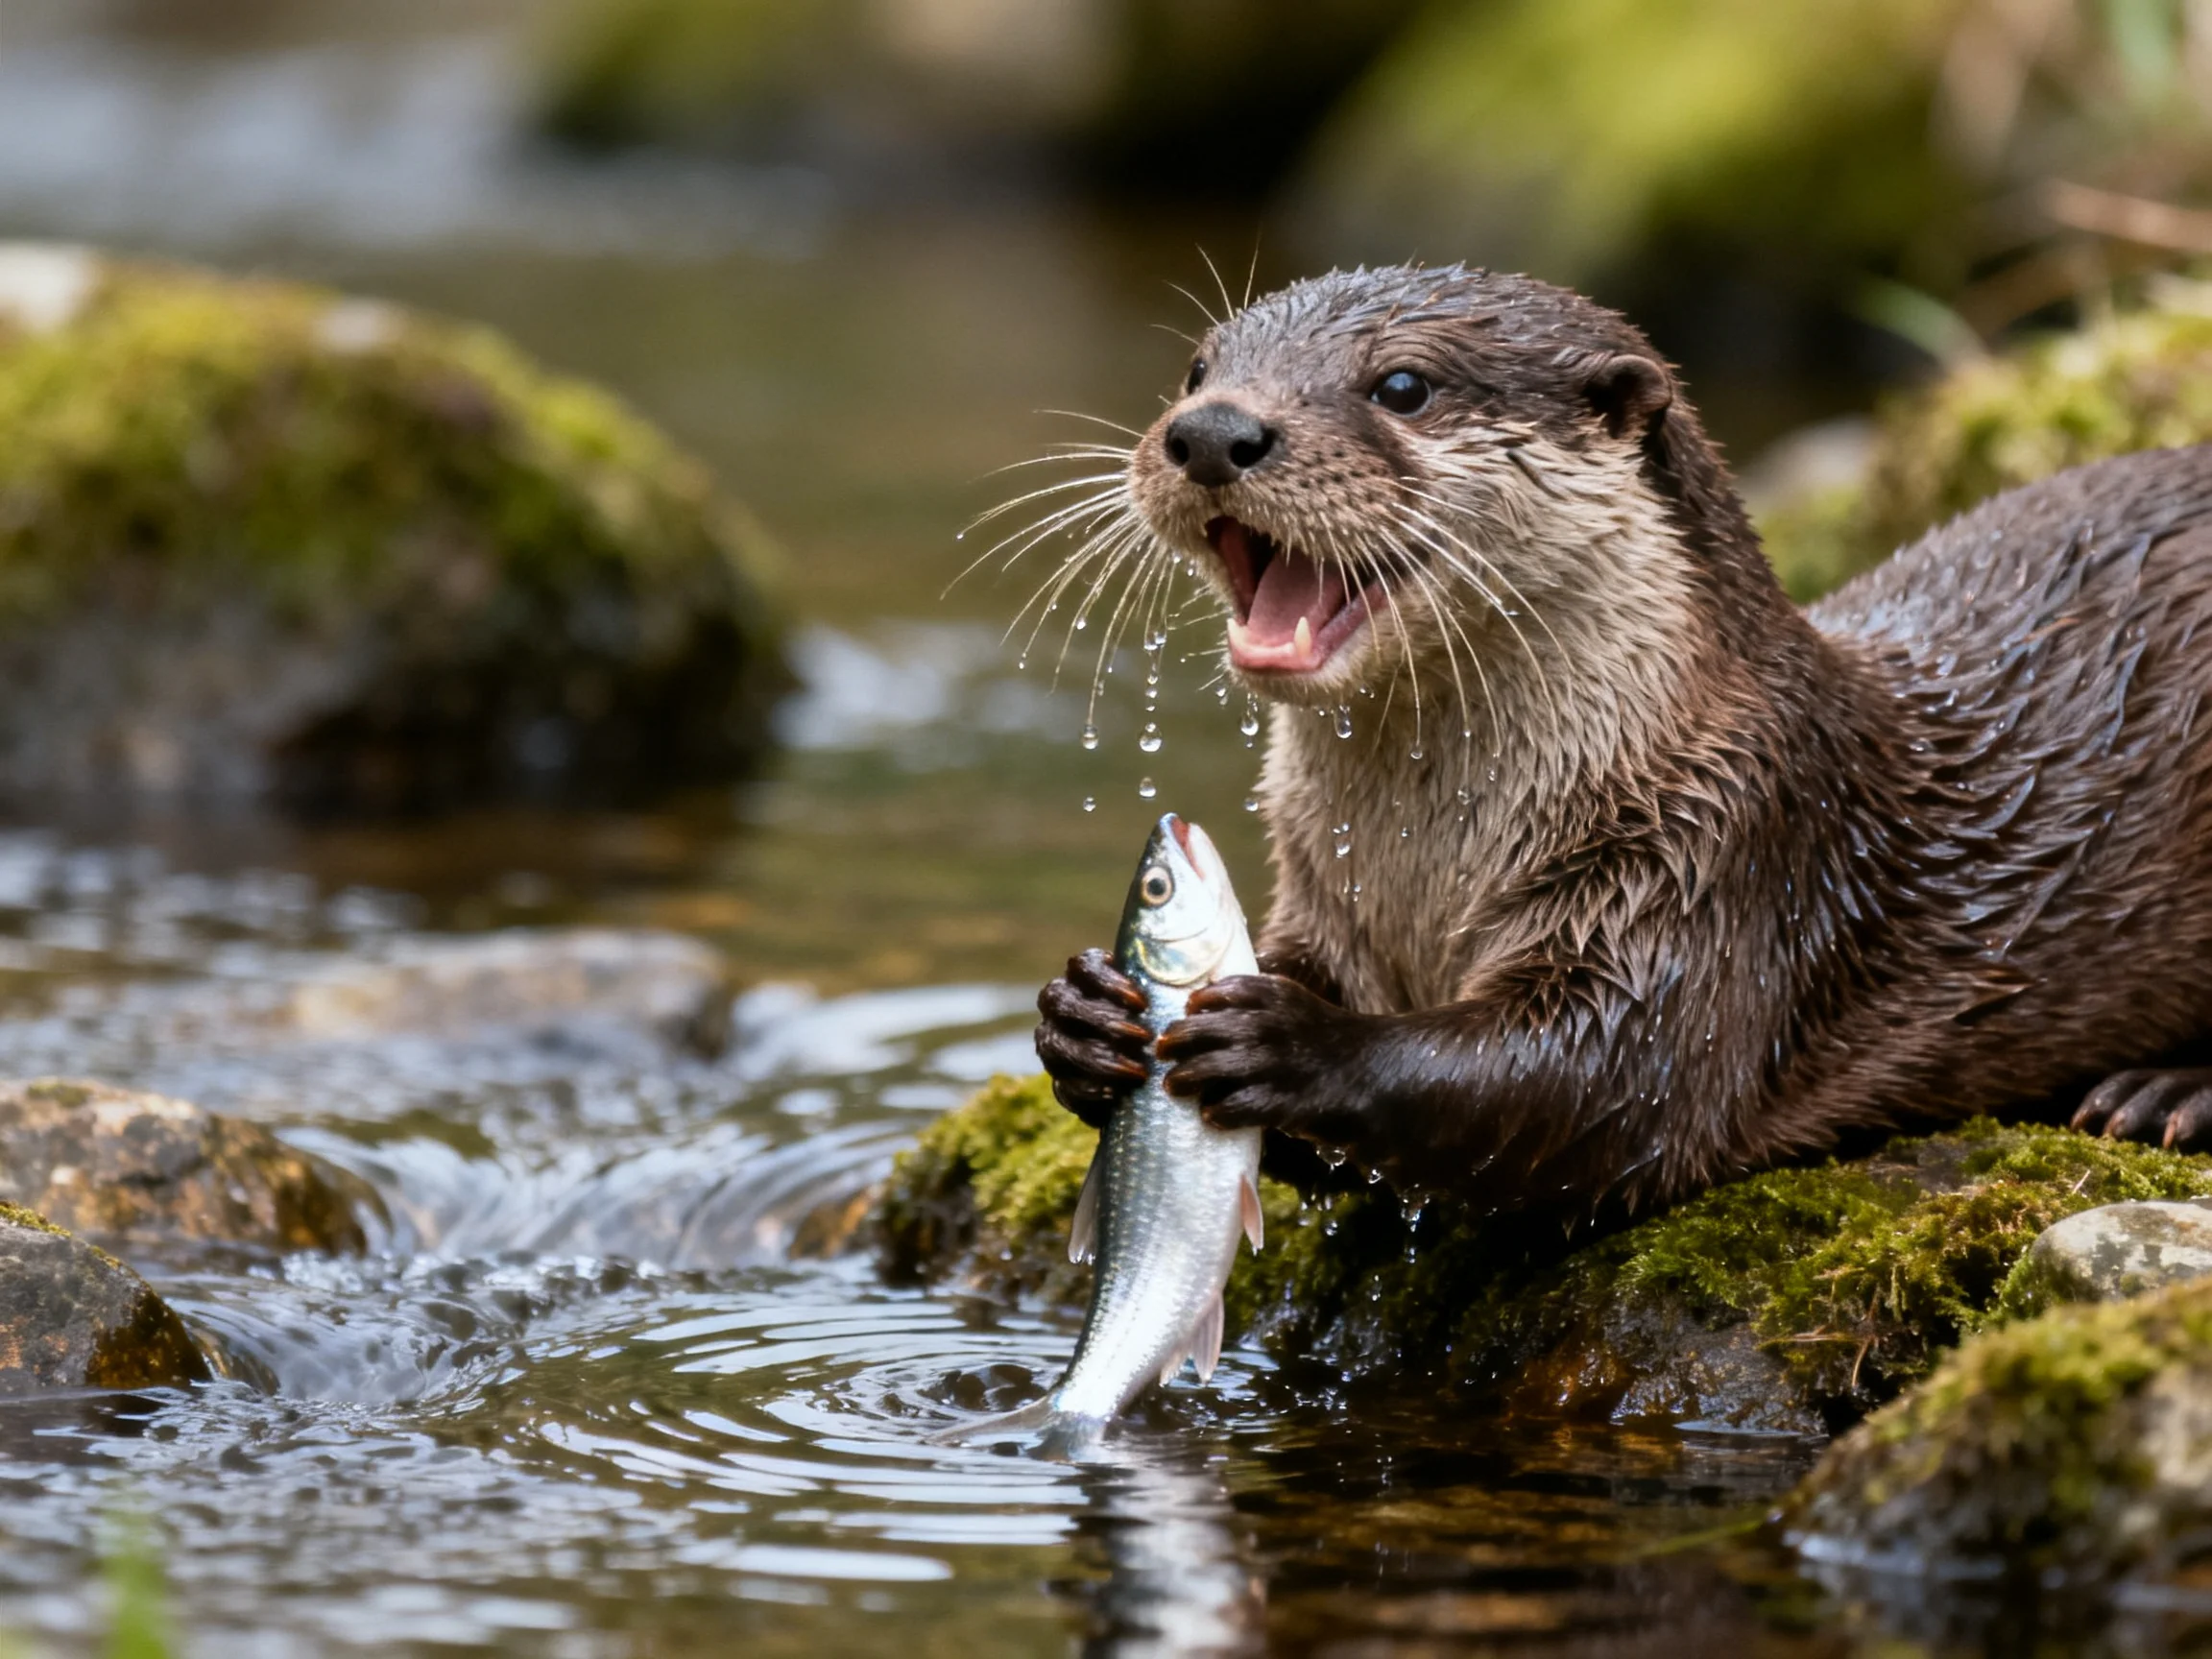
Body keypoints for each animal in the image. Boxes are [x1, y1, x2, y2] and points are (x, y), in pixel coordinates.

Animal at [1032, 262, 2212, 1228]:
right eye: (1198, 368)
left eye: (1404, 386)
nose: (1212, 431)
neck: (1432, 873)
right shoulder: (1327, 895)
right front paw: (1082, 1017)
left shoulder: (1723, 852)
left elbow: (1603, 1082)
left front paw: (1294, 1041)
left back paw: (2159, 1096)